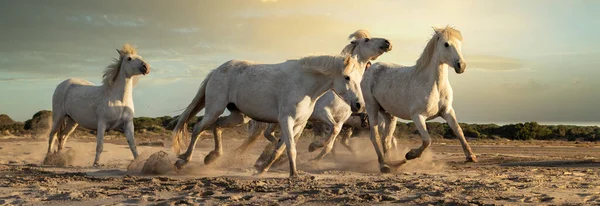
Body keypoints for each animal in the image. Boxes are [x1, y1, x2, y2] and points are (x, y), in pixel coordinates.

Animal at [171, 53, 364, 177]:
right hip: (214, 108)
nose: (359, 105)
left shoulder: (299, 124)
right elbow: (291, 148)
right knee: (198, 128)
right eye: (347, 77)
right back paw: (183, 161)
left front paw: (262, 169)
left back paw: (212, 157)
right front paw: (294, 174)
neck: (304, 85)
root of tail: (216, 71)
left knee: (217, 126)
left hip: (239, 117)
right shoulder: (286, 120)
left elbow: (279, 149)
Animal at [360, 26, 478, 173]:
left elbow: (459, 131)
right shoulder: (418, 116)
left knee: (386, 139)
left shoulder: (447, 112)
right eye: (446, 44)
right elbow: (427, 140)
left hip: (389, 115)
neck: (434, 85)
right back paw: (384, 166)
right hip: (372, 107)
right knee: (375, 136)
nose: (461, 66)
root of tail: (370, 69)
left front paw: (471, 156)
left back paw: (394, 163)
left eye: (460, 43)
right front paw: (410, 155)